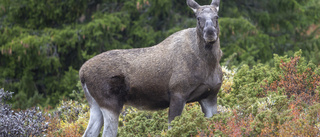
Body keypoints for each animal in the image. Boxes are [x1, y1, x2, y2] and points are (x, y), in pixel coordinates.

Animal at [79, 0, 222, 136]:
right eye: (198, 18)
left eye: (216, 16)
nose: (210, 32)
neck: (209, 64)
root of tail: (82, 73)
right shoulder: (178, 93)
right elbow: (172, 129)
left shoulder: (210, 96)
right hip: (110, 103)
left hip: (95, 105)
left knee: (89, 132)